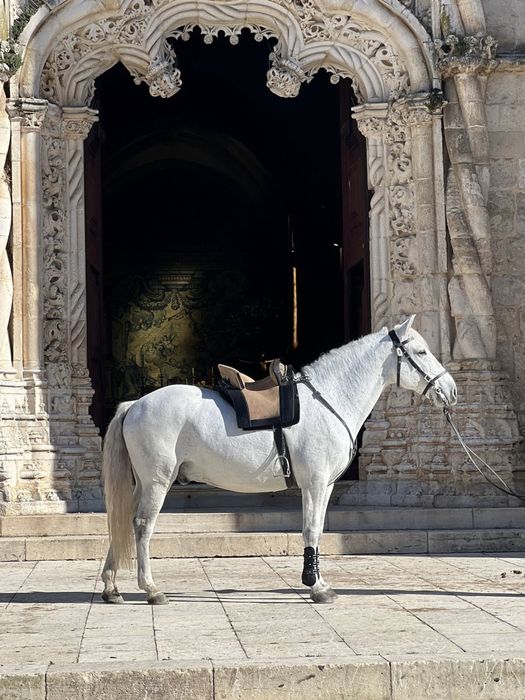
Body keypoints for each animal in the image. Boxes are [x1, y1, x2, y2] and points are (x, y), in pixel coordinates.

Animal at [101, 315, 457, 605]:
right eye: (421, 352)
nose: (451, 391)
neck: (329, 399)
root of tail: (134, 405)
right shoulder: (314, 483)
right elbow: (311, 529)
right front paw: (316, 587)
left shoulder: (325, 486)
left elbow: (317, 529)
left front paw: (317, 581)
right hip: (157, 482)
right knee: (142, 525)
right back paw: (151, 589)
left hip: (142, 483)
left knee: (123, 520)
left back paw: (111, 588)